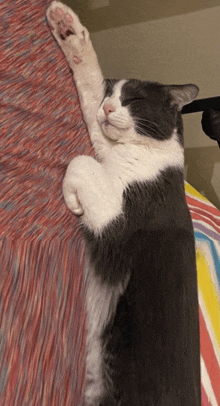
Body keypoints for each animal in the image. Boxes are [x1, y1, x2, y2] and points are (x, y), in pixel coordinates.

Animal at [46, 2, 201, 402]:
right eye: (109, 95)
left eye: (133, 99)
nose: (109, 108)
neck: (144, 151)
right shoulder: (104, 142)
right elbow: (87, 87)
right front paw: (67, 28)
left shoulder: (118, 218)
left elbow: (80, 161)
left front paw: (73, 200)